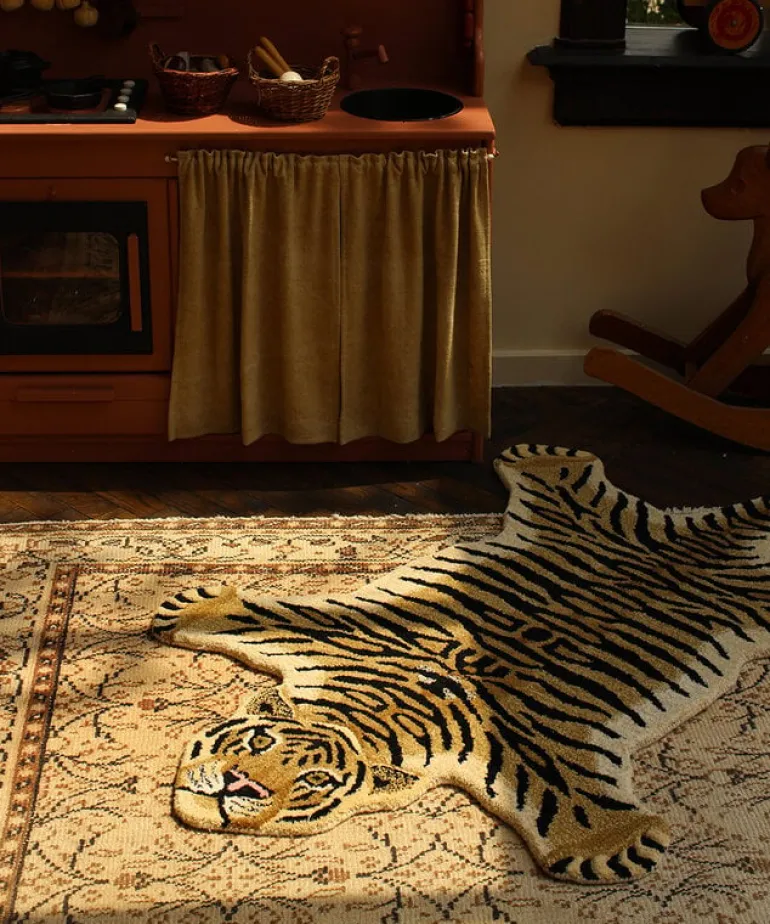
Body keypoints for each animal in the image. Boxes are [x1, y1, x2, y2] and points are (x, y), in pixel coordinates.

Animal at [149, 444, 770, 885]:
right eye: (258, 741)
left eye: (315, 780)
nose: (238, 786)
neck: (371, 715)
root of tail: (697, 538)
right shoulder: (334, 635)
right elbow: (251, 615)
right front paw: (195, 608)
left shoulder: (529, 744)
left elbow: (568, 797)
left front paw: (609, 844)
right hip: (579, 520)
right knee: (574, 485)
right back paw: (539, 457)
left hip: (752, 603)